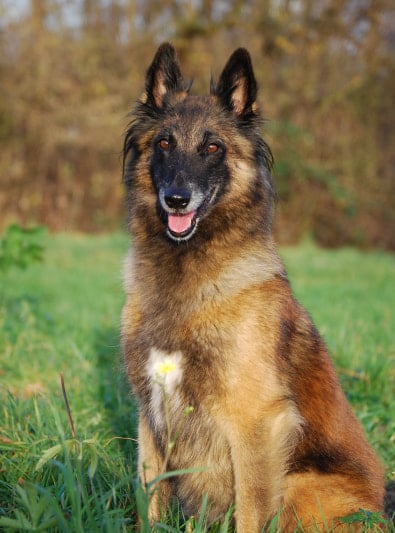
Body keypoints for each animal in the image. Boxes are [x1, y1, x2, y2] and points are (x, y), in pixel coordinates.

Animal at [122, 43, 386, 528]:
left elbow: (250, 513)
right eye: (164, 143)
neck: (187, 279)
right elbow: (149, 500)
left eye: (213, 147)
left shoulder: (258, 425)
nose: (176, 199)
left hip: (299, 484)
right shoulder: (150, 416)